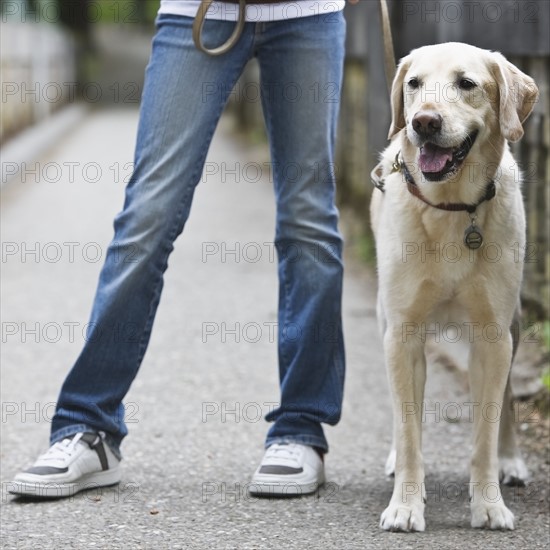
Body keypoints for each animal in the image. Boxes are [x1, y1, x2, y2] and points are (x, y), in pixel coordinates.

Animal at [374, 44, 540, 536]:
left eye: (467, 84)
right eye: (413, 83)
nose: (423, 122)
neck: (450, 208)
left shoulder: (493, 337)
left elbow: (484, 433)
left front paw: (489, 504)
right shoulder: (403, 334)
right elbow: (409, 430)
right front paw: (405, 506)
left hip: (514, 326)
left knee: (508, 400)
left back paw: (511, 461)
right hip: (385, 322)